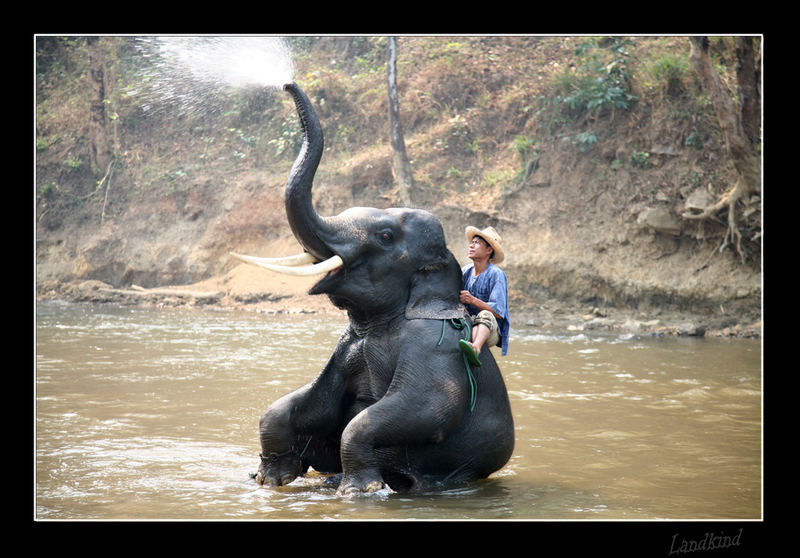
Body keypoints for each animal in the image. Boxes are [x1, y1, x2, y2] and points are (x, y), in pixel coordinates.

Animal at [231, 84, 516, 498]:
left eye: (384, 236)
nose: (286, 84)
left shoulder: (434, 346)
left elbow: (426, 407)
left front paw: (360, 492)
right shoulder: (345, 348)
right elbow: (310, 402)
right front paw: (273, 480)